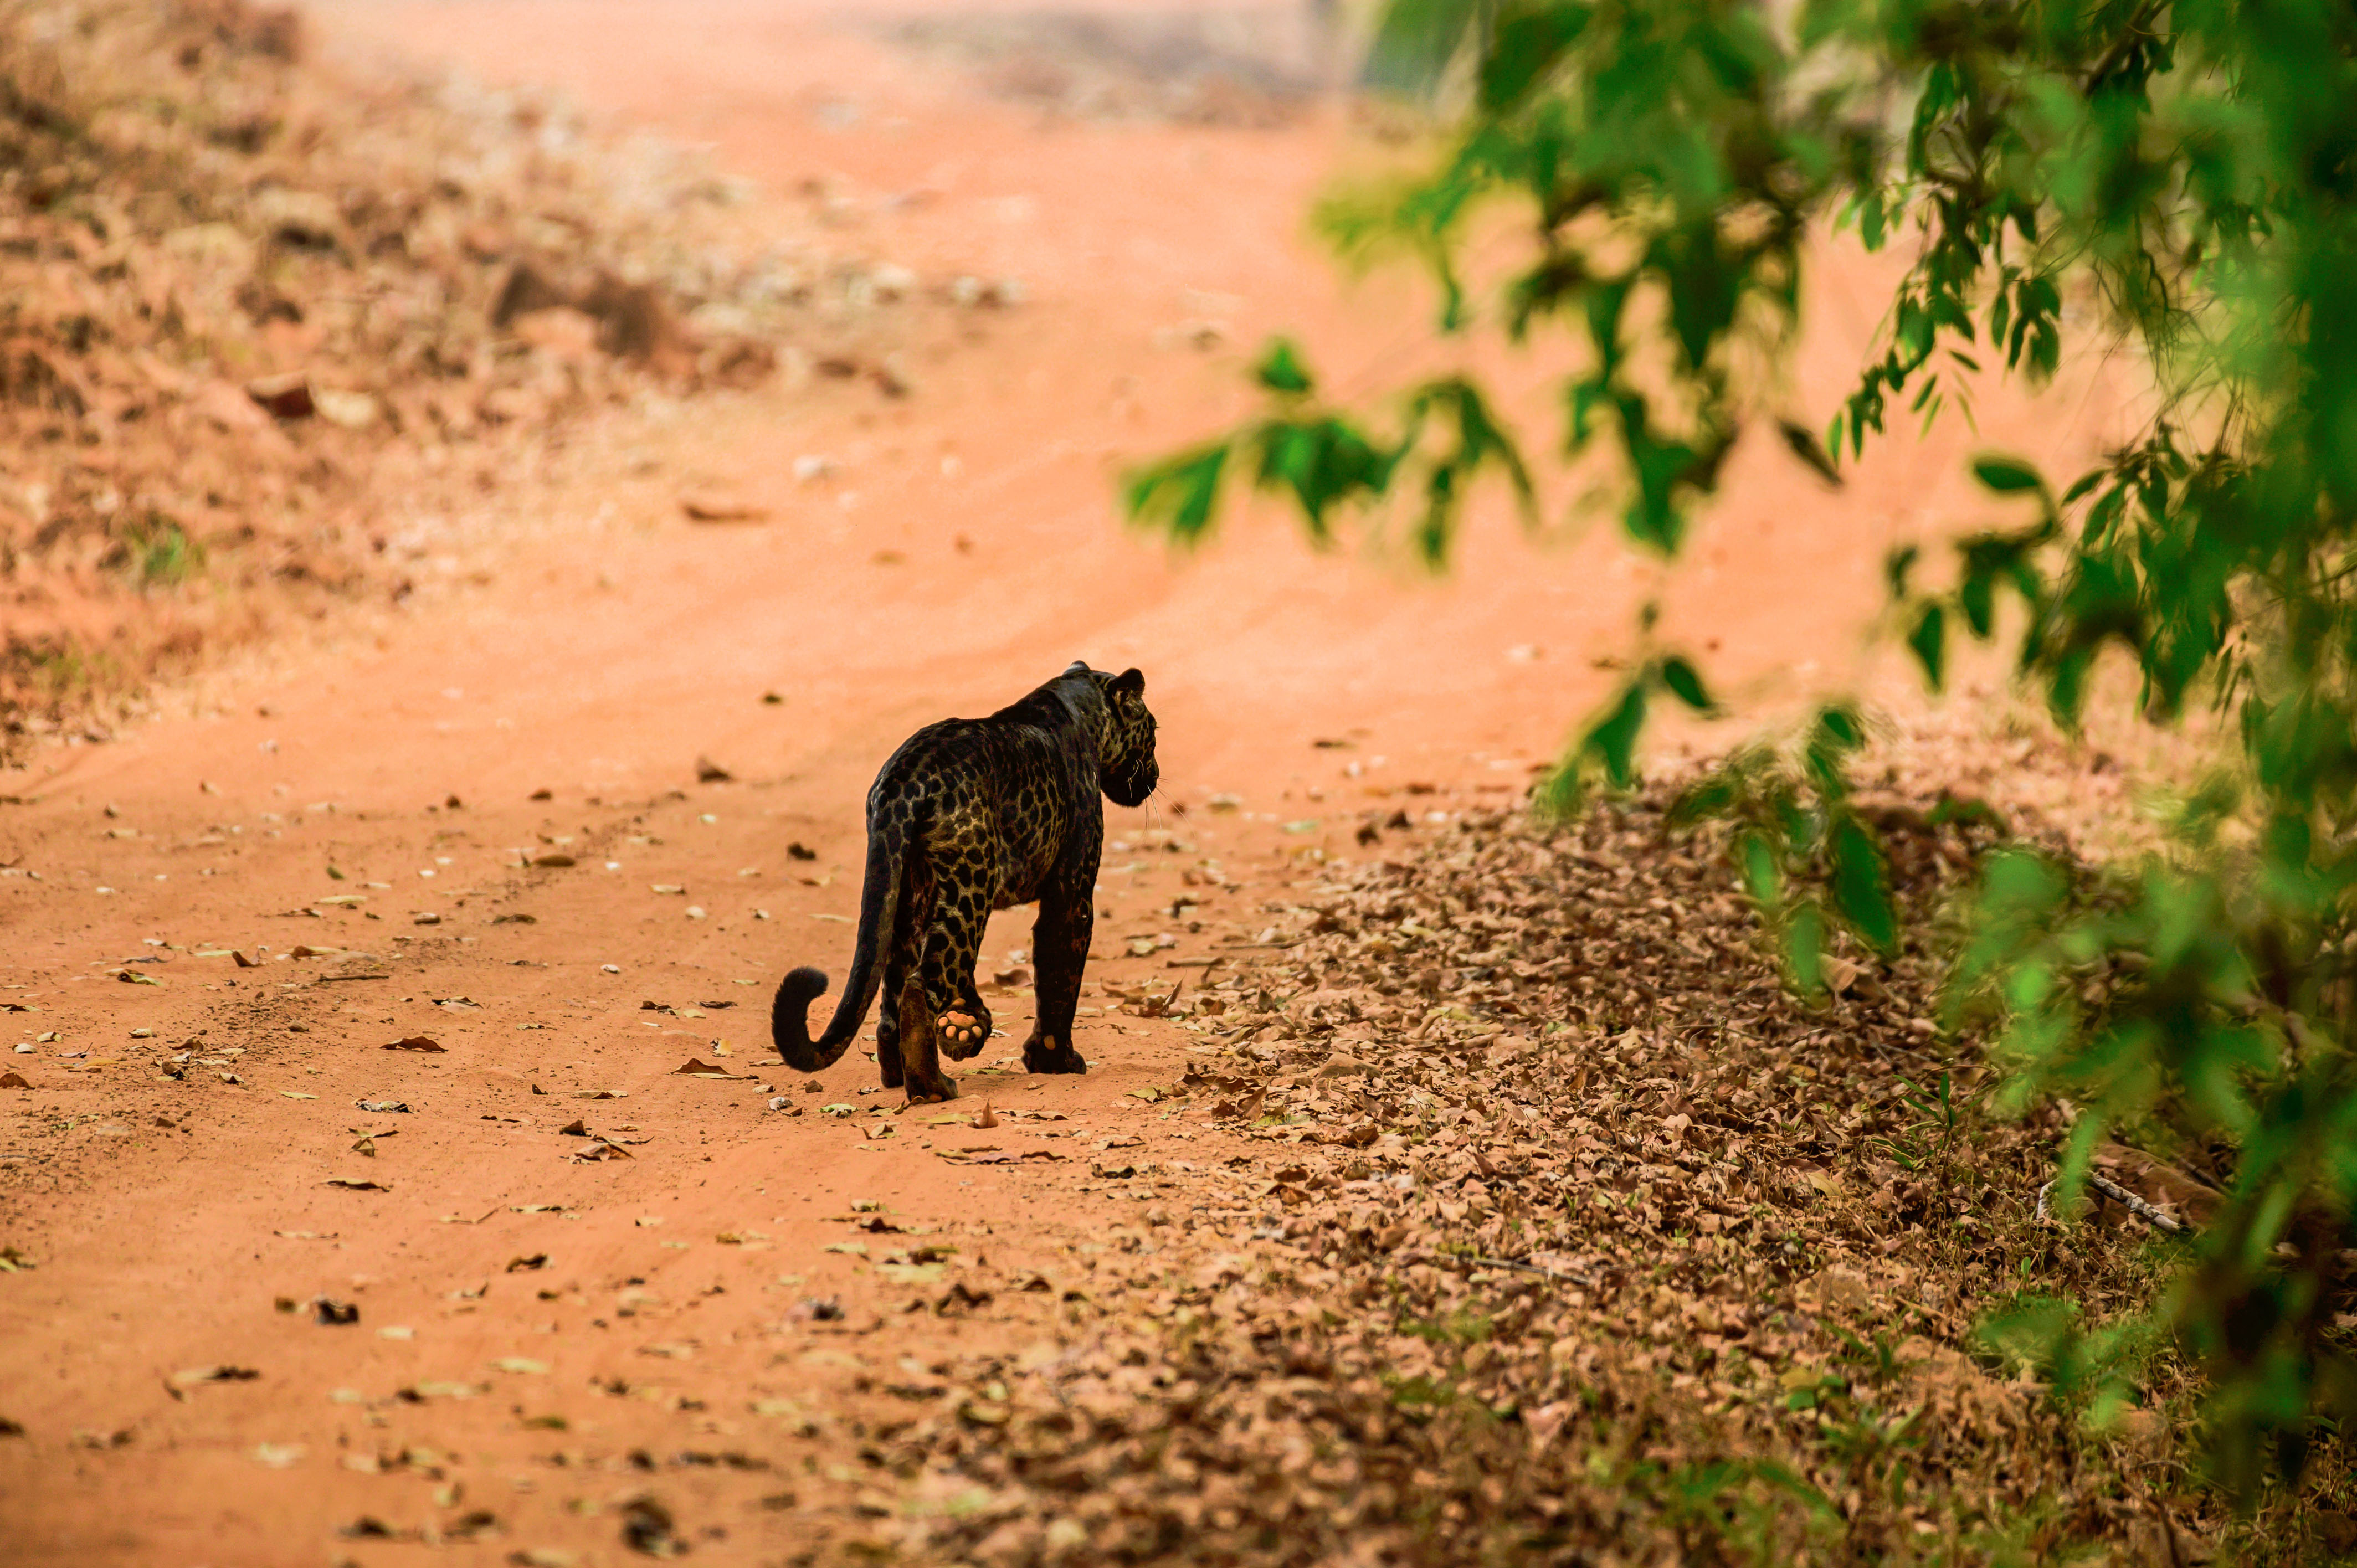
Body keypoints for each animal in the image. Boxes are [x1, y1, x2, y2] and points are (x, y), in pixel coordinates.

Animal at [773, 660, 1159, 1098]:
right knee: (923, 983)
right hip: (970, 885)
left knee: (894, 992)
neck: (1082, 707)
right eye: (1153, 729)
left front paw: (965, 1026)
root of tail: (903, 781)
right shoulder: (1072, 893)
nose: (1155, 775)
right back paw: (932, 1087)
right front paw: (1055, 1061)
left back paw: (900, 1074)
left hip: (908, 891)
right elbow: (1060, 972)